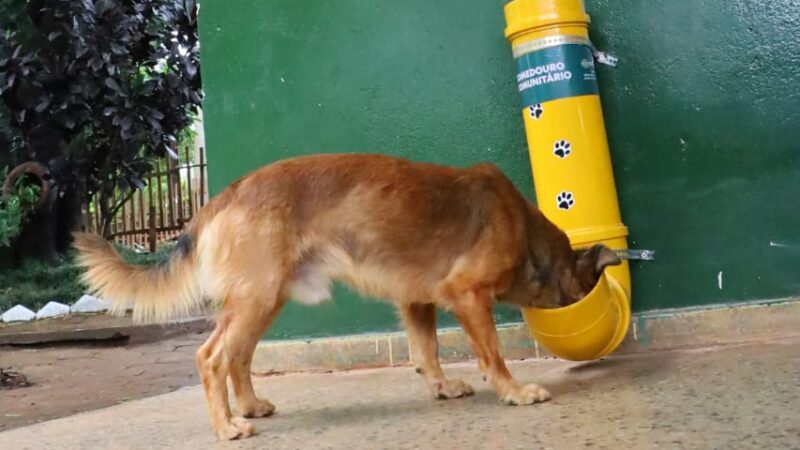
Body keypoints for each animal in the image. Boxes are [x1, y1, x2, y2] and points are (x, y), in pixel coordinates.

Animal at [73, 154, 620, 440]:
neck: (526, 233)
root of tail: (224, 196)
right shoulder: (466, 295)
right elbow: (493, 353)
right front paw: (513, 391)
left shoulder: (416, 301)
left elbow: (427, 351)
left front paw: (442, 387)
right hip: (257, 298)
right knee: (212, 357)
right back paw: (228, 427)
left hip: (265, 300)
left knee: (239, 356)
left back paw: (248, 407)